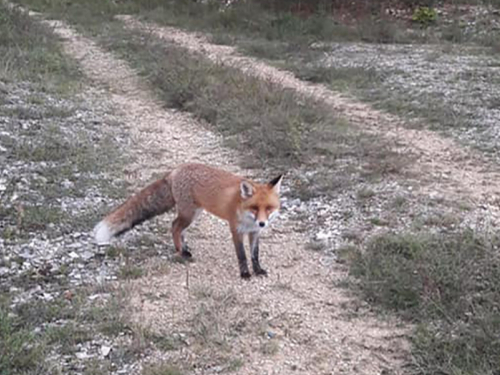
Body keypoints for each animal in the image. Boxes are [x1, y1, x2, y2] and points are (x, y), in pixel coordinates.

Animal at [93, 164, 282, 280]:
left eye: (269, 208)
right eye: (255, 208)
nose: (263, 223)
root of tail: (175, 171)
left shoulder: (254, 233)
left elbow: (255, 255)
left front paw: (257, 270)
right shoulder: (236, 230)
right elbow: (242, 255)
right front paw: (244, 274)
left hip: (193, 214)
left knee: (179, 229)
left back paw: (184, 248)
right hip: (189, 214)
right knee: (174, 227)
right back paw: (181, 252)